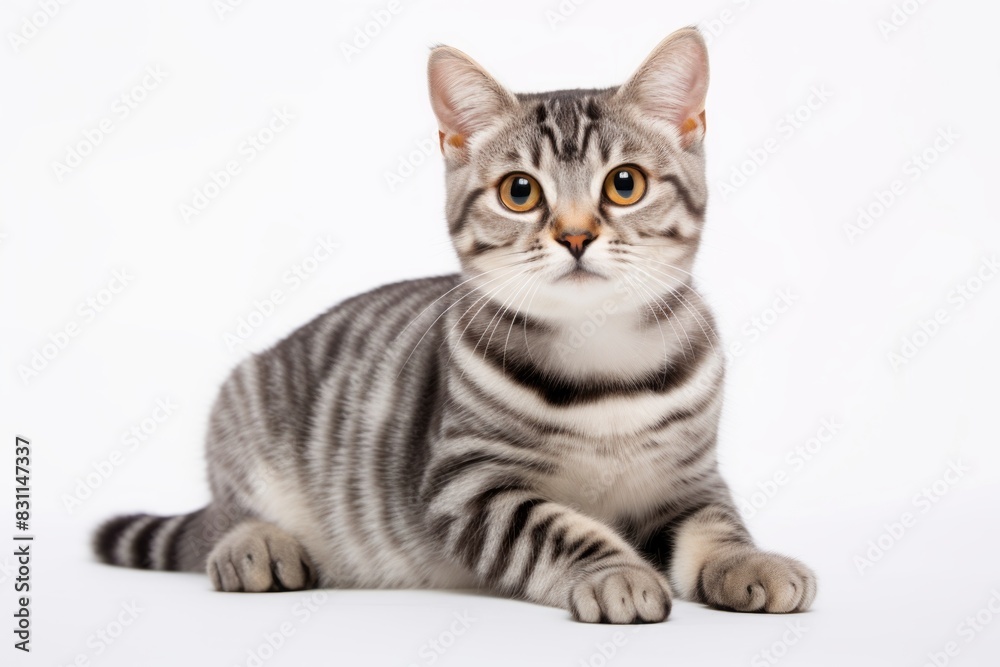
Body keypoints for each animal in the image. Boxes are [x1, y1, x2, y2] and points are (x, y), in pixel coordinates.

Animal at [92, 28, 812, 624]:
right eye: (520, 191)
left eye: (625, 184)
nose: (576, 235)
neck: (604, 363)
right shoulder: (466, 484)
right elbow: (558, 528)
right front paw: (614, 571)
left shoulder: (689, 480)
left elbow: (718, 524)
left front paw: (750, 560)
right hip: (241, 411)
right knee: (222, 521)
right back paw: (254, 546)